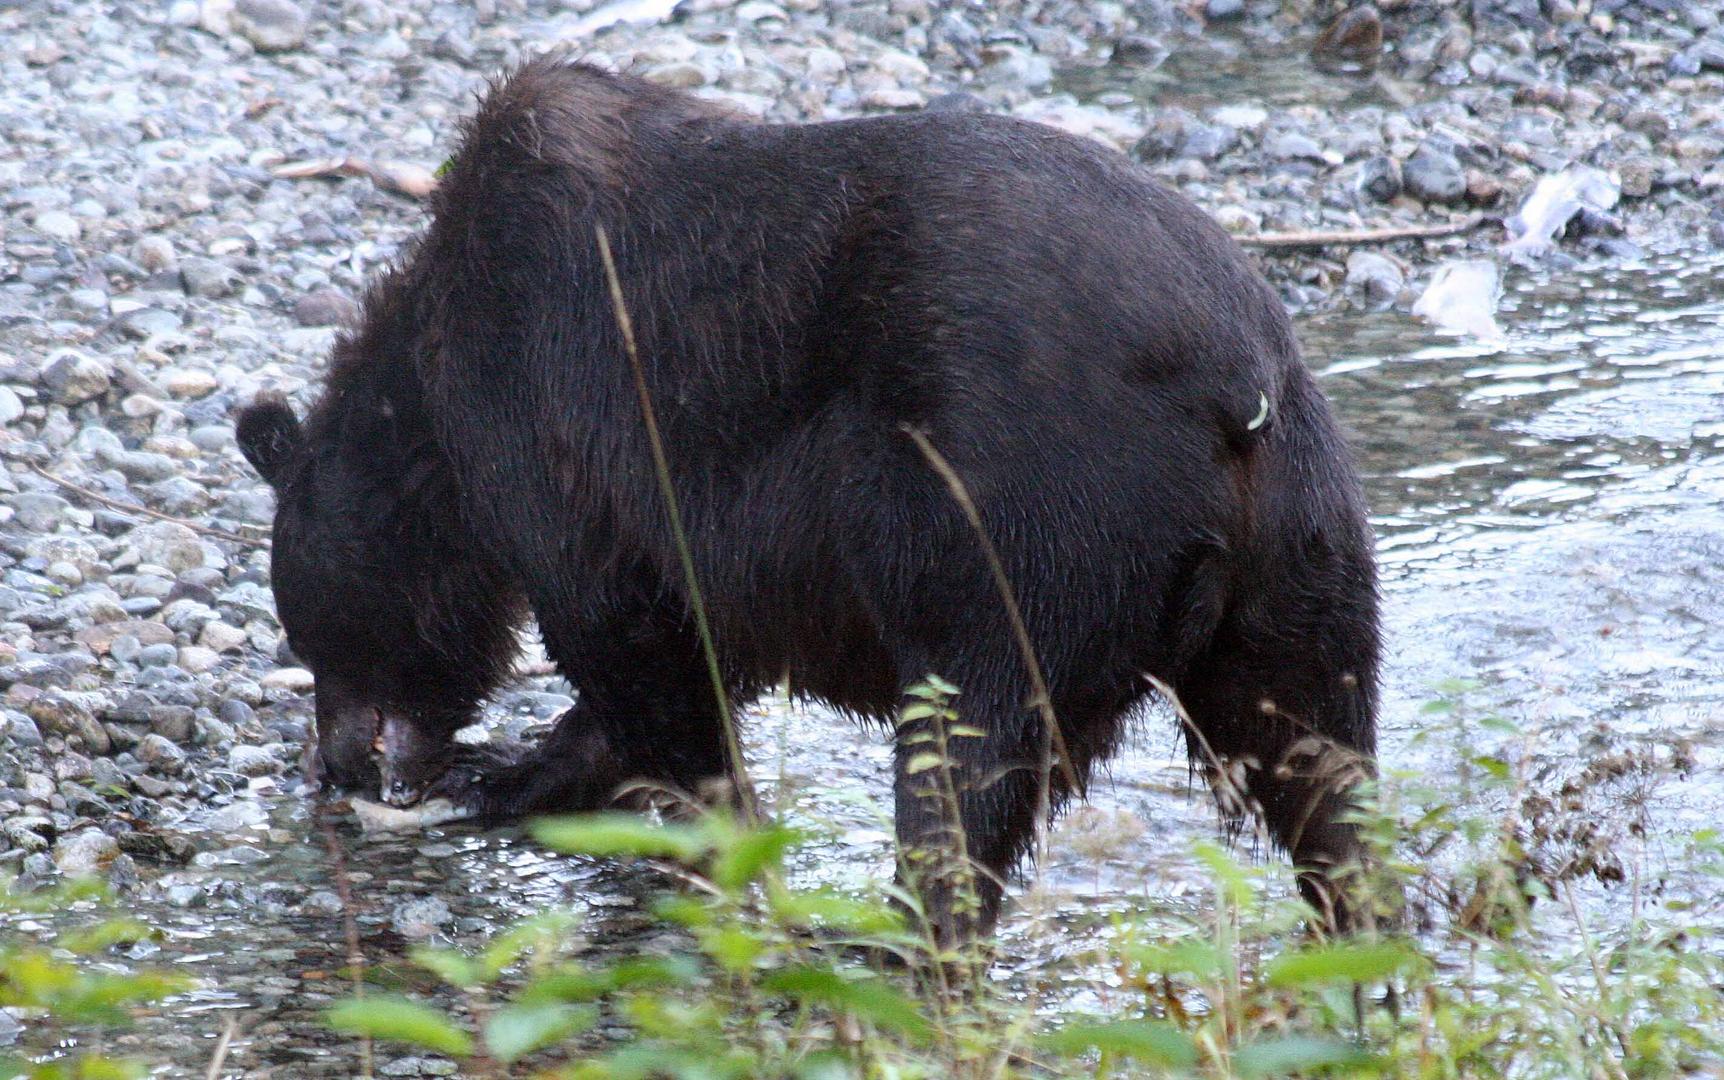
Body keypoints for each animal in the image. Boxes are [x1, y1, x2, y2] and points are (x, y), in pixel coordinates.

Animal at [239, 54, 1372, 938]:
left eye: (311, 634)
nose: (334, 762)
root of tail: (1230, 390)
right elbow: (682, 653)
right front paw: (507, 771)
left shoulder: (553, 406)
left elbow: (629, 642)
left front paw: (704, 833)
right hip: (1300, 545)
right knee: (1322, 766)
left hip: (1025, 513)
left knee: (968, 754)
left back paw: (902, 940)